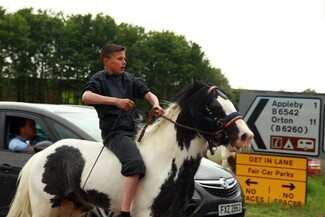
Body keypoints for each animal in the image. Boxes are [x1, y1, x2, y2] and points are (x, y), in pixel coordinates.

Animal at [6, 80, 252, 217]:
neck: (167, 160)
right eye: (212, 107)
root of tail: (42, 154)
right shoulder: (145, 213)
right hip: (45, 206)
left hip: (74, 207)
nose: (245, 135)